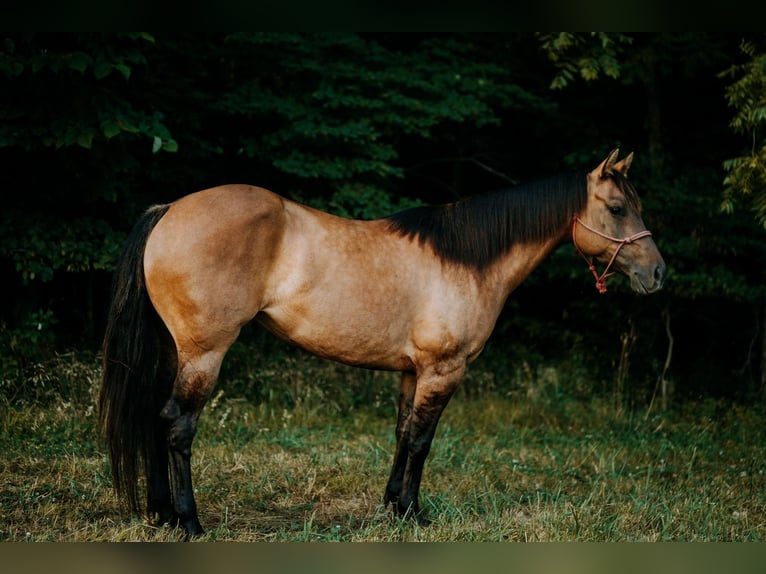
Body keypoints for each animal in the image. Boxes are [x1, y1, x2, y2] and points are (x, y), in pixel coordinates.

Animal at [100, 147, 664, 536]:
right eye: (617, 208)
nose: (657, 273)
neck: (467, 259)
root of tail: (169, 210)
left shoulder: (413, 371)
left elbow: (401, 434)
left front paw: (393, 507)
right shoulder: (443, 369)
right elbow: (422, 441)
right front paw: (414, 513)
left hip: (175, 351)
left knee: (154, 417)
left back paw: (162, 514)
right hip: (205, 354)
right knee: (178, 425)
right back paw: (190, 522)